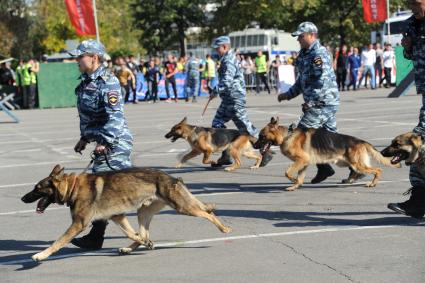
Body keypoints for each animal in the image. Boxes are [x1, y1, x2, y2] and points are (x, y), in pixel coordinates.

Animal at [21, 165, 230, 262]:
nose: (22, 198)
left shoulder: (78, 224)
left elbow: (57, 242)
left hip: (182, 208)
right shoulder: (118, 216)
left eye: (37, 188)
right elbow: (131, 233)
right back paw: (134, 247)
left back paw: (224, 228)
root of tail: (171, 177)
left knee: (209, 214)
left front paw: (41, 255)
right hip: (143, 212)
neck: (73, 187)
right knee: (144, 232)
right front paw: (143, 241)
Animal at [255, 116, 400, 192]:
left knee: (378, 170)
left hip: (356, 164)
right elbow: (300, 177)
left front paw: (293, 181)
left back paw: (372, 183)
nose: (255, 146)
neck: (287, 135)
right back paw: (351, 179)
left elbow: (287, 172)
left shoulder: (300, 160)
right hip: (350, 163)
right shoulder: (304, 163)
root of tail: (361, 141)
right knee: (359, 171)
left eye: (262, 136)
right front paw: (295, 185)